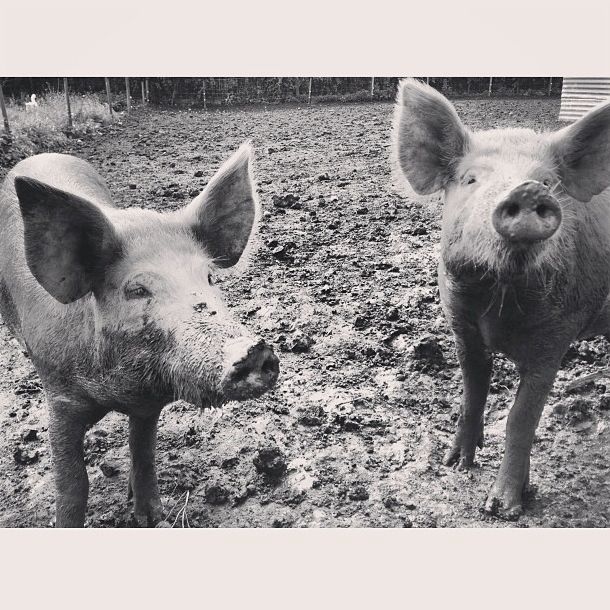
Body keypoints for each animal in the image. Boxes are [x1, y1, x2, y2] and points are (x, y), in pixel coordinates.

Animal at [0, 142, 280, 527]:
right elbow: (73, 482)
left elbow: (143, 450)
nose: (253, 350)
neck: (116, 392)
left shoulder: (149, 403)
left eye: (208, 277)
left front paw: (151, 518)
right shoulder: (60, 399)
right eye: (136, 290)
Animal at [393, 79, 610, 519]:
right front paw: (456, 464)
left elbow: (520, 418)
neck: (499, 296)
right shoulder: (461, 324)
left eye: (548, 182)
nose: (525, 190)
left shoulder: (556, 338)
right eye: (470, 180)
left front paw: (502, 508)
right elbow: (473, 390)